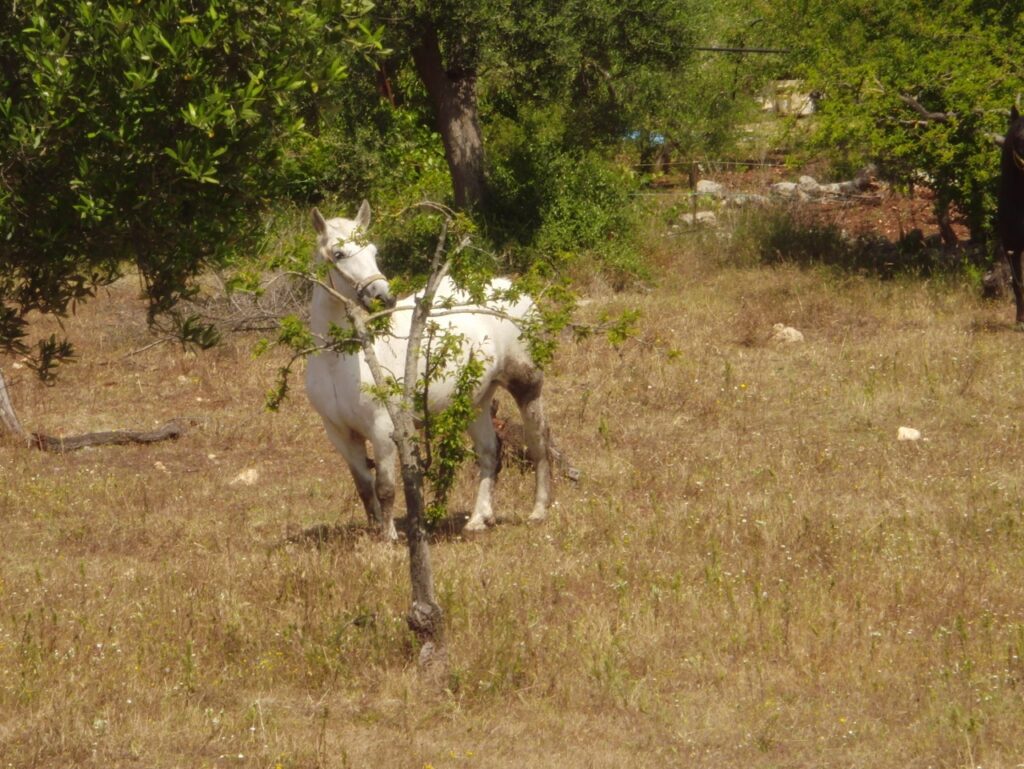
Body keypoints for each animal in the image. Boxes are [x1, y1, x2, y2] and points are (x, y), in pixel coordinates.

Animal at [303, 204, 552, 540]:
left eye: (373, 250)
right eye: (338, 254)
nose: (383, 297)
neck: (338, 362)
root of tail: (514, 291)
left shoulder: (383, 429)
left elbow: (385, 488)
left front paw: (389, 539)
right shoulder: (340, 434)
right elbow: (364, 488)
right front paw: (374, 532)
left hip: (526, 386)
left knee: (539, 441)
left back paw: (538, 511)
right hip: (476, 402)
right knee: (489, 452)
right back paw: (479, 519)